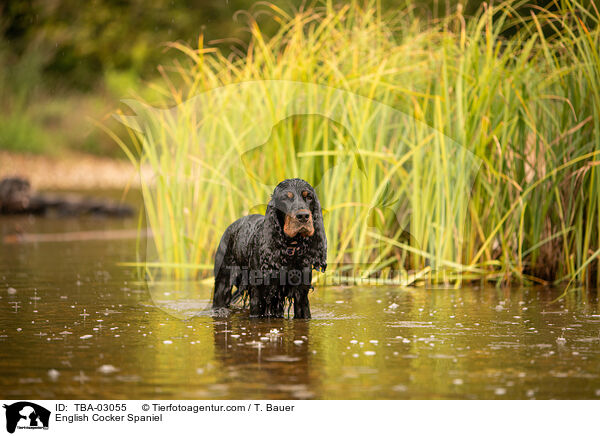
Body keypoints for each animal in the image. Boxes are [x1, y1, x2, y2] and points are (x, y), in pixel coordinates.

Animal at [212, 179, 326, 318]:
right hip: (223, 282)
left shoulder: (301, 294)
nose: (303, 216)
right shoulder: (258, 293)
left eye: (309, 197)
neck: (288, 249)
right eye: (285, 198)